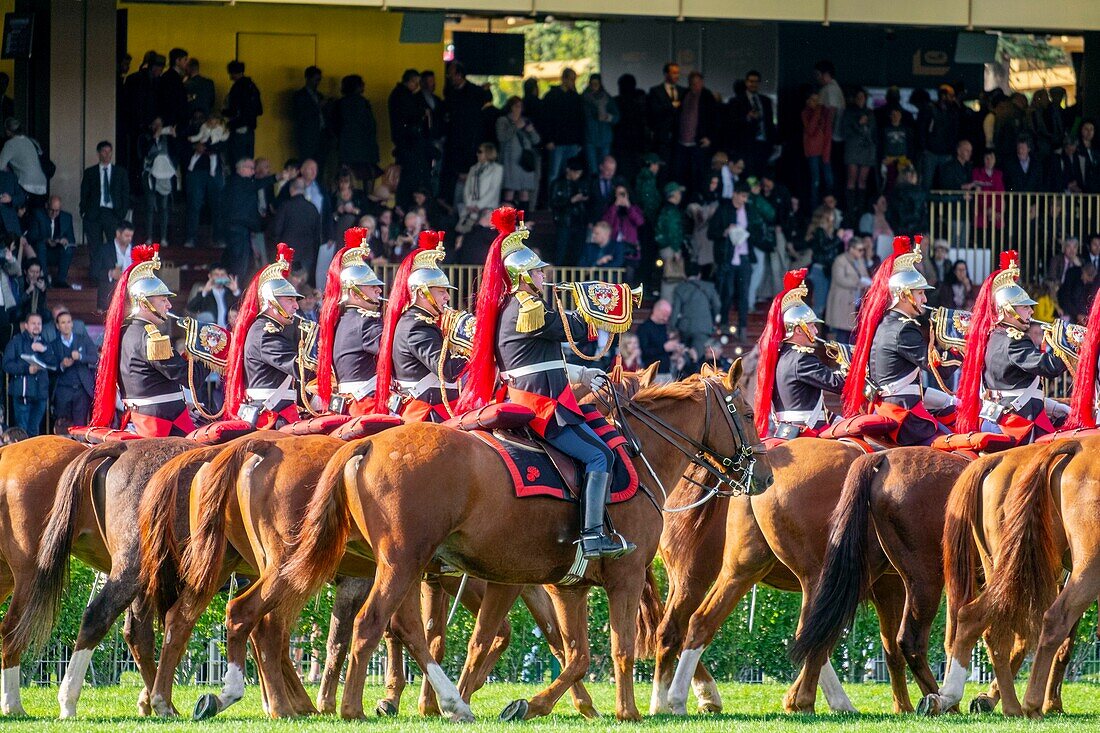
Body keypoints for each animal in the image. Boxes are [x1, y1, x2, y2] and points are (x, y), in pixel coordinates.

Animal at [277, 363, 774, 717]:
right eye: (748, 413)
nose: (764, 476)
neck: (634, 453)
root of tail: (367, 444)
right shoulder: (625, 576)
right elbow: (620, 645)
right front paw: (628, 711)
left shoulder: (564, 586)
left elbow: (572, 652)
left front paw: (531, 705)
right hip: (402, 565)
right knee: (369, 624)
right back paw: (352, 706)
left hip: (407, 569)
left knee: (403, 631)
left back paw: (443, 703)